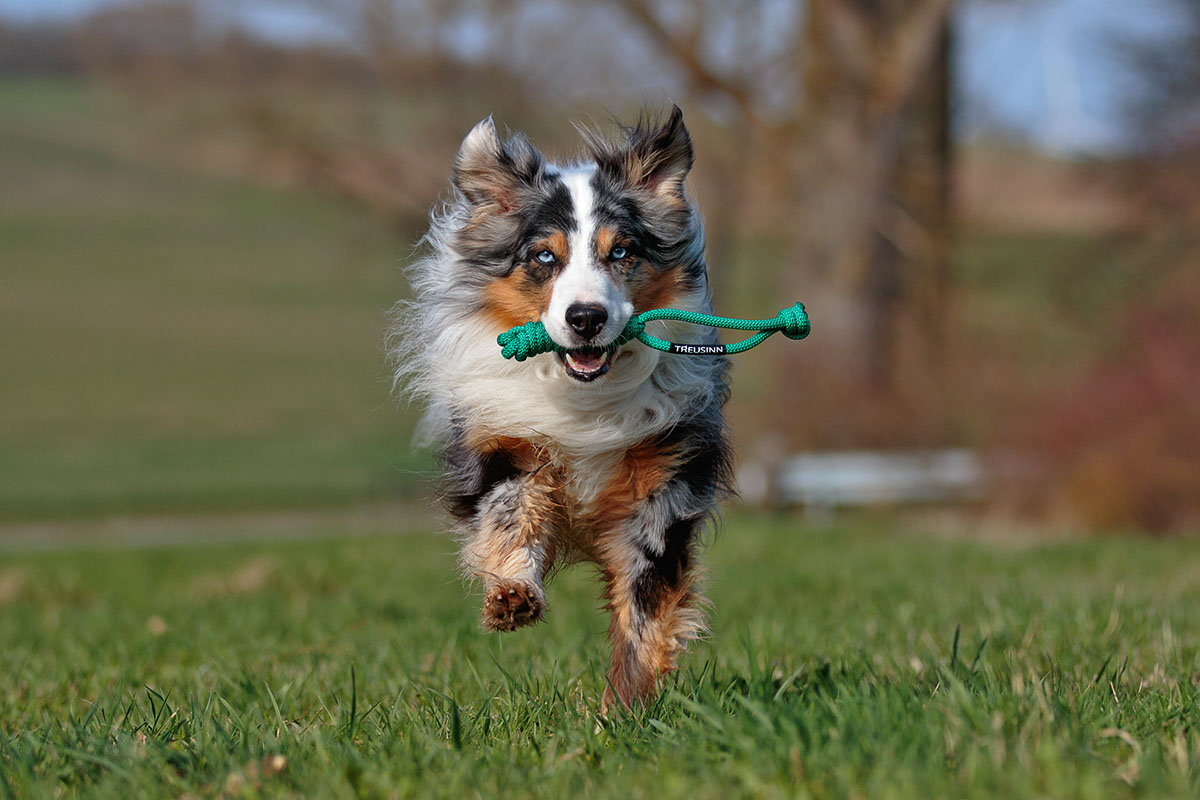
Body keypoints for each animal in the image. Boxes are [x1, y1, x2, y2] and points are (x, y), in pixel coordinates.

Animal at [393, 106, 729, 714]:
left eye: (621, 251)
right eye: (544, 256)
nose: (586, 317)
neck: (584, 397)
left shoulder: (661, 486)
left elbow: (642, 612)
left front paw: (622, 710)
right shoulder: (505, 444)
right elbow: (511, 514)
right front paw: (511, 595)